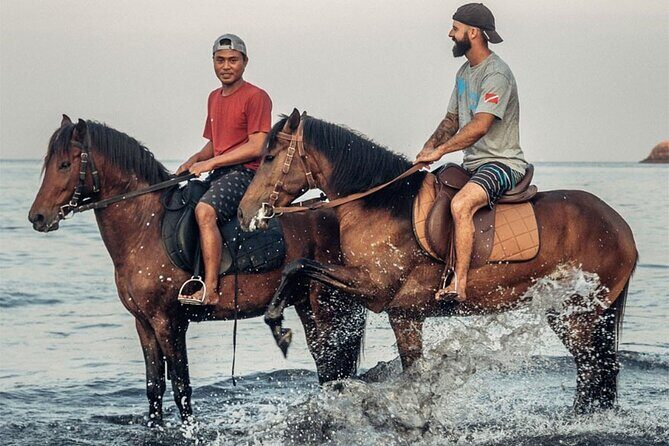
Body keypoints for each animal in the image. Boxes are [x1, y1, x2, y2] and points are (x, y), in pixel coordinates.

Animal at [28, 115, 366, 425]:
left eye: (64, 165)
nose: (37, 217)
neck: (145, 227)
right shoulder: (144, 324)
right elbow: (153, 387)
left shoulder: (168, 323)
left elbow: (181, 386)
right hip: (305, 304)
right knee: (327, 365)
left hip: (327, 305)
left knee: (333, 365)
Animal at [238, 109, 638, 414]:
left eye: (269, 157)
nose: (243, 213)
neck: (380, 205)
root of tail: (622, 228)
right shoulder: (403, 313)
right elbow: (412, 372)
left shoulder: (375, 289)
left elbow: (298, 266)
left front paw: (279, 326)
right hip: (570, 313)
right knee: (597, 370)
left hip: (580, 315)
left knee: (595, 369)